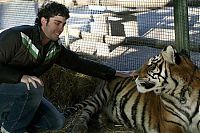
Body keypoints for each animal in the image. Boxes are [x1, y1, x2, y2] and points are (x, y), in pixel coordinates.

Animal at [65, 45, 200, 133]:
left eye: (151, 65)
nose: (134, 74)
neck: (183, 94)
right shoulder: (170, 125)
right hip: (101, 96)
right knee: (86, 111)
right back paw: (79, 127)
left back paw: (102, 120)